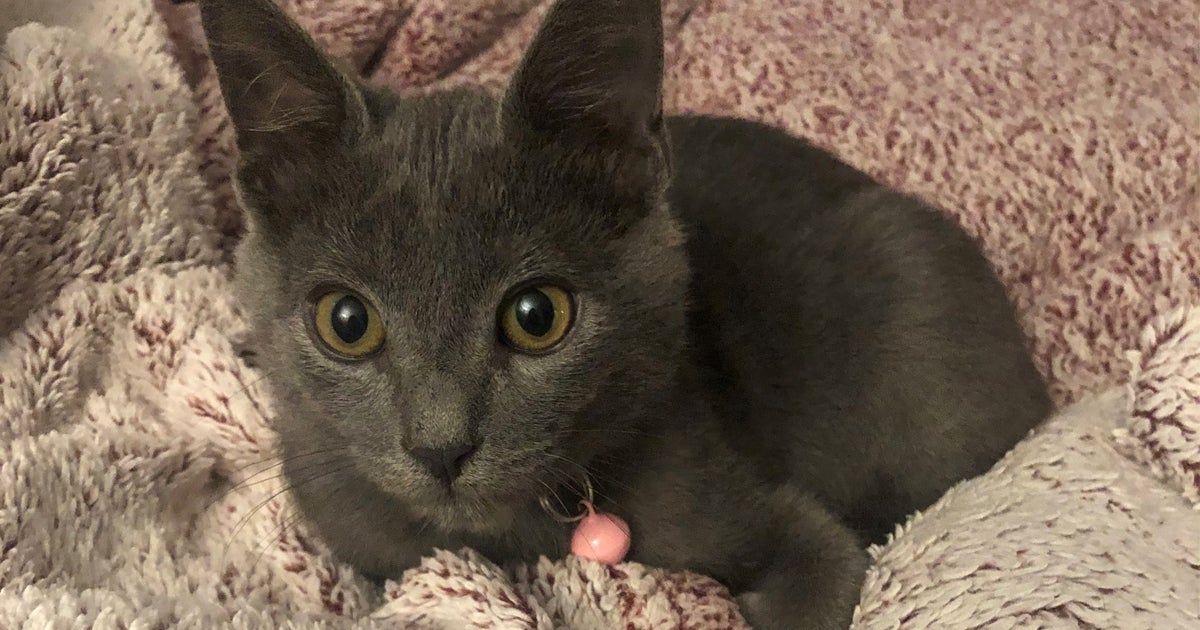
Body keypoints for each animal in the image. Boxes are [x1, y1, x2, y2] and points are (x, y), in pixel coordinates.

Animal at [197, 0, 1052, 627]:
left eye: (537, 315)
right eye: (346, 322)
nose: (441, 448)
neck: (512, 535)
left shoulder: (777, 520)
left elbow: (820, 562)